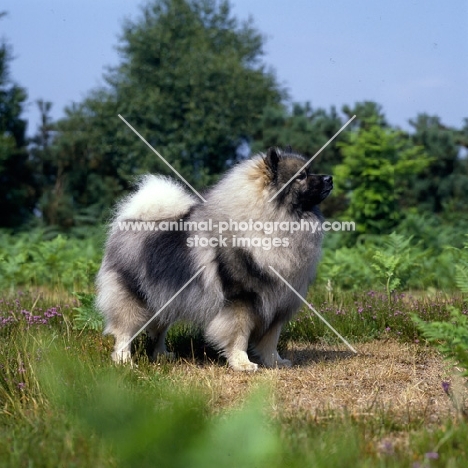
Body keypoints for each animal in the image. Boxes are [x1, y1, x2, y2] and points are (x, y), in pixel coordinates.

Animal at [97, 148, 332, 372]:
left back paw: (162, 355)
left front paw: (275, 362)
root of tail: (131, 220)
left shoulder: (277, 303)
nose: (329, 178)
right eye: (301, 176)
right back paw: (125, 361)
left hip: (164, 297)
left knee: (158, 330)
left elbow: (270, 340)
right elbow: (239, 336)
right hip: (134, 298)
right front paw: (242, 363)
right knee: (124, 331)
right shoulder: (240, 300)